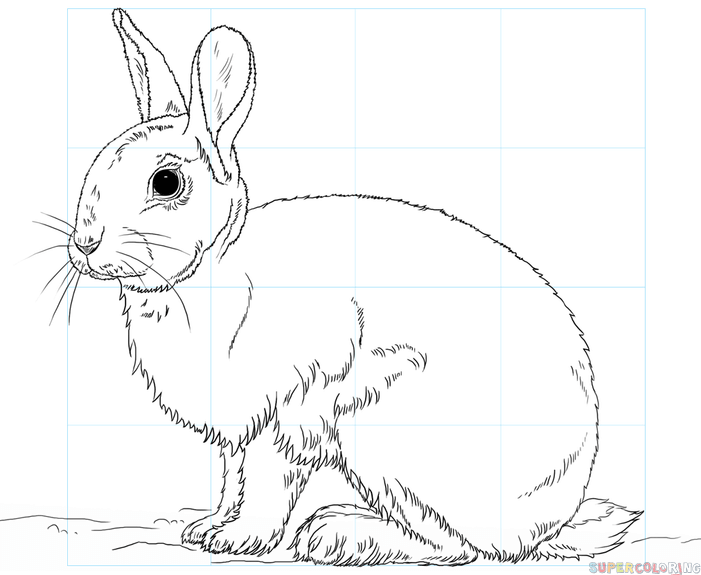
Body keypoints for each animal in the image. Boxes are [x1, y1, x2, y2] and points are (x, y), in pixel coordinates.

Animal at [64, 8, 641, 565]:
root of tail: (549, 521)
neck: (212, 270)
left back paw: (340, 536)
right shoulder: (237, 433)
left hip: (389, 434)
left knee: (455, 546)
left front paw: (239, 541)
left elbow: (266, 485)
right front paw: (206, 529)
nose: (84, 244)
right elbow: (233, 481)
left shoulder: (286, 412)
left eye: (166, 183)